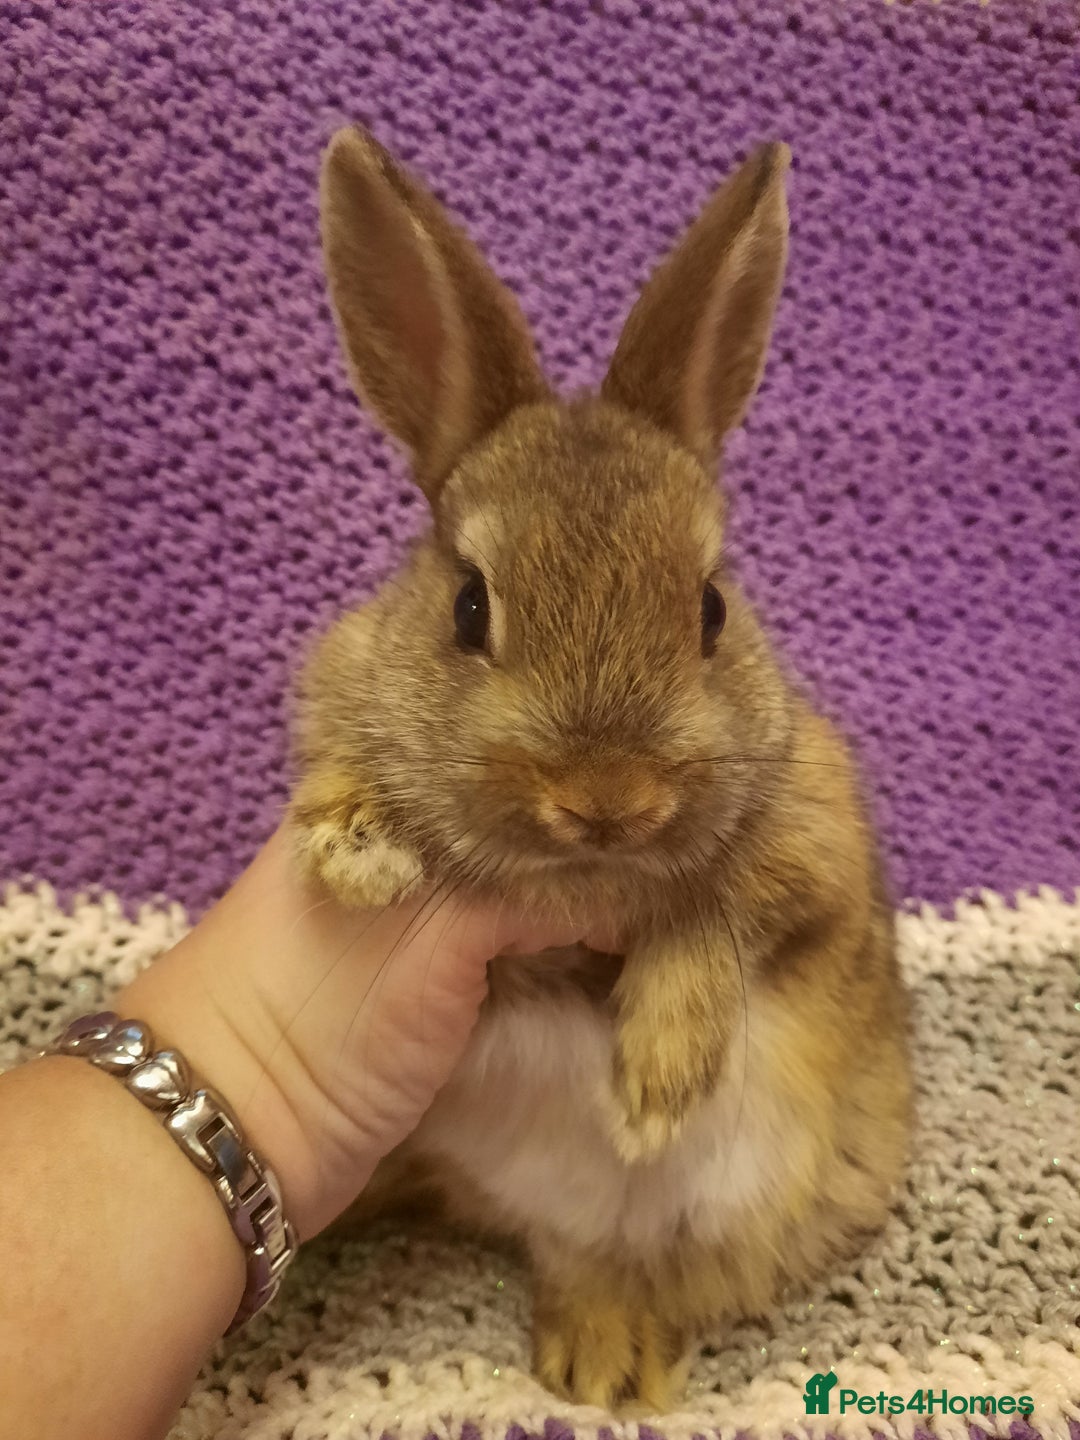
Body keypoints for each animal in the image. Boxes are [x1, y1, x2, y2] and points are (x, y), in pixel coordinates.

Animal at [289, 126, 913, 1413]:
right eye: (469, 608)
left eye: (711, 608)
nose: (607, 799)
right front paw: (358, 846)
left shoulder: (813, 861)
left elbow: (711, 920)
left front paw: (658, 1081)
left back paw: (613, 1366)